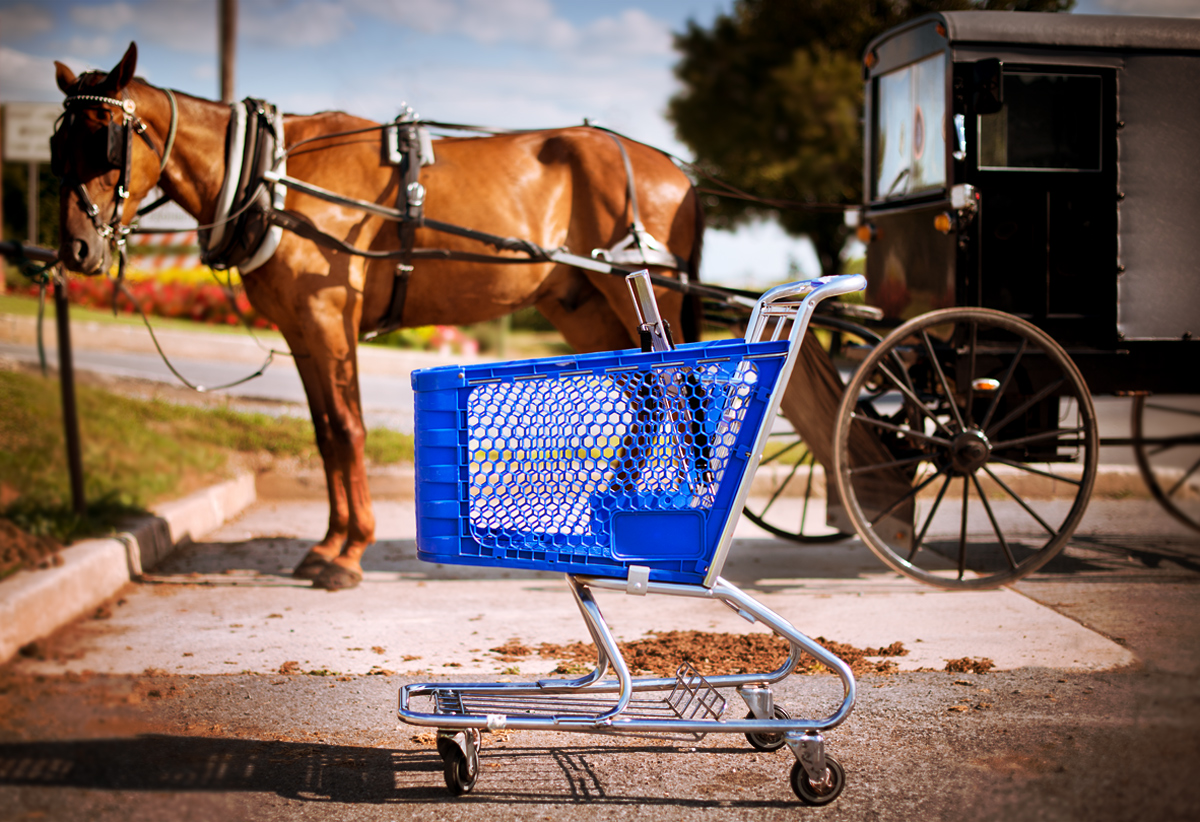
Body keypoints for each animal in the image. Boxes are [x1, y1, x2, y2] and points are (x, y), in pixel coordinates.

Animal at [54, 43, 700, 590]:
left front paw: (348, 554)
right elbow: (324, 434)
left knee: (684, 399)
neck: (272, 177)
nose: (76, 250)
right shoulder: (300, 330)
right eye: (59, 147)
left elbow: (348, 427)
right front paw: (328, 544)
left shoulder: (328, 317)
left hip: (640, 293)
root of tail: (680, 172)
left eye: (107, 142)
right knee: (649, 402)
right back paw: (612, 513)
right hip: (587, 309)